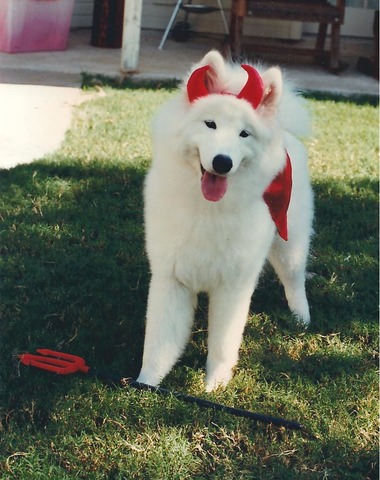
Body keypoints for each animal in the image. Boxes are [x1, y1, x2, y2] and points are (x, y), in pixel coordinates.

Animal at [137, 50, 312, 392]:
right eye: (210, 124)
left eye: (244, 134)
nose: (222, 162)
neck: (208, 211)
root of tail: (285, 133)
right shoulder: (170, 279)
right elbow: (159, 342)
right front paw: (145, 384)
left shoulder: (233, 287)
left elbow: (222, 343)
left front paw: (214, 387)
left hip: (290, 245)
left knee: (294, 279)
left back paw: (301, 317)